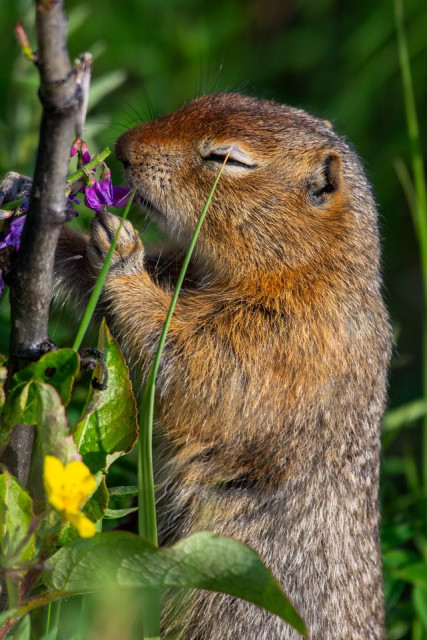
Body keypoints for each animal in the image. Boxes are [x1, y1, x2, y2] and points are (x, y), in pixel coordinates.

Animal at [54, 92, 392, 639]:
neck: (306, 267)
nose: (122, 147)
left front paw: (120, 254)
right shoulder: (187, 269)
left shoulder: (282, 340)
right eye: (201, 101)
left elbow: (189, 364)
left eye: (227, 159)